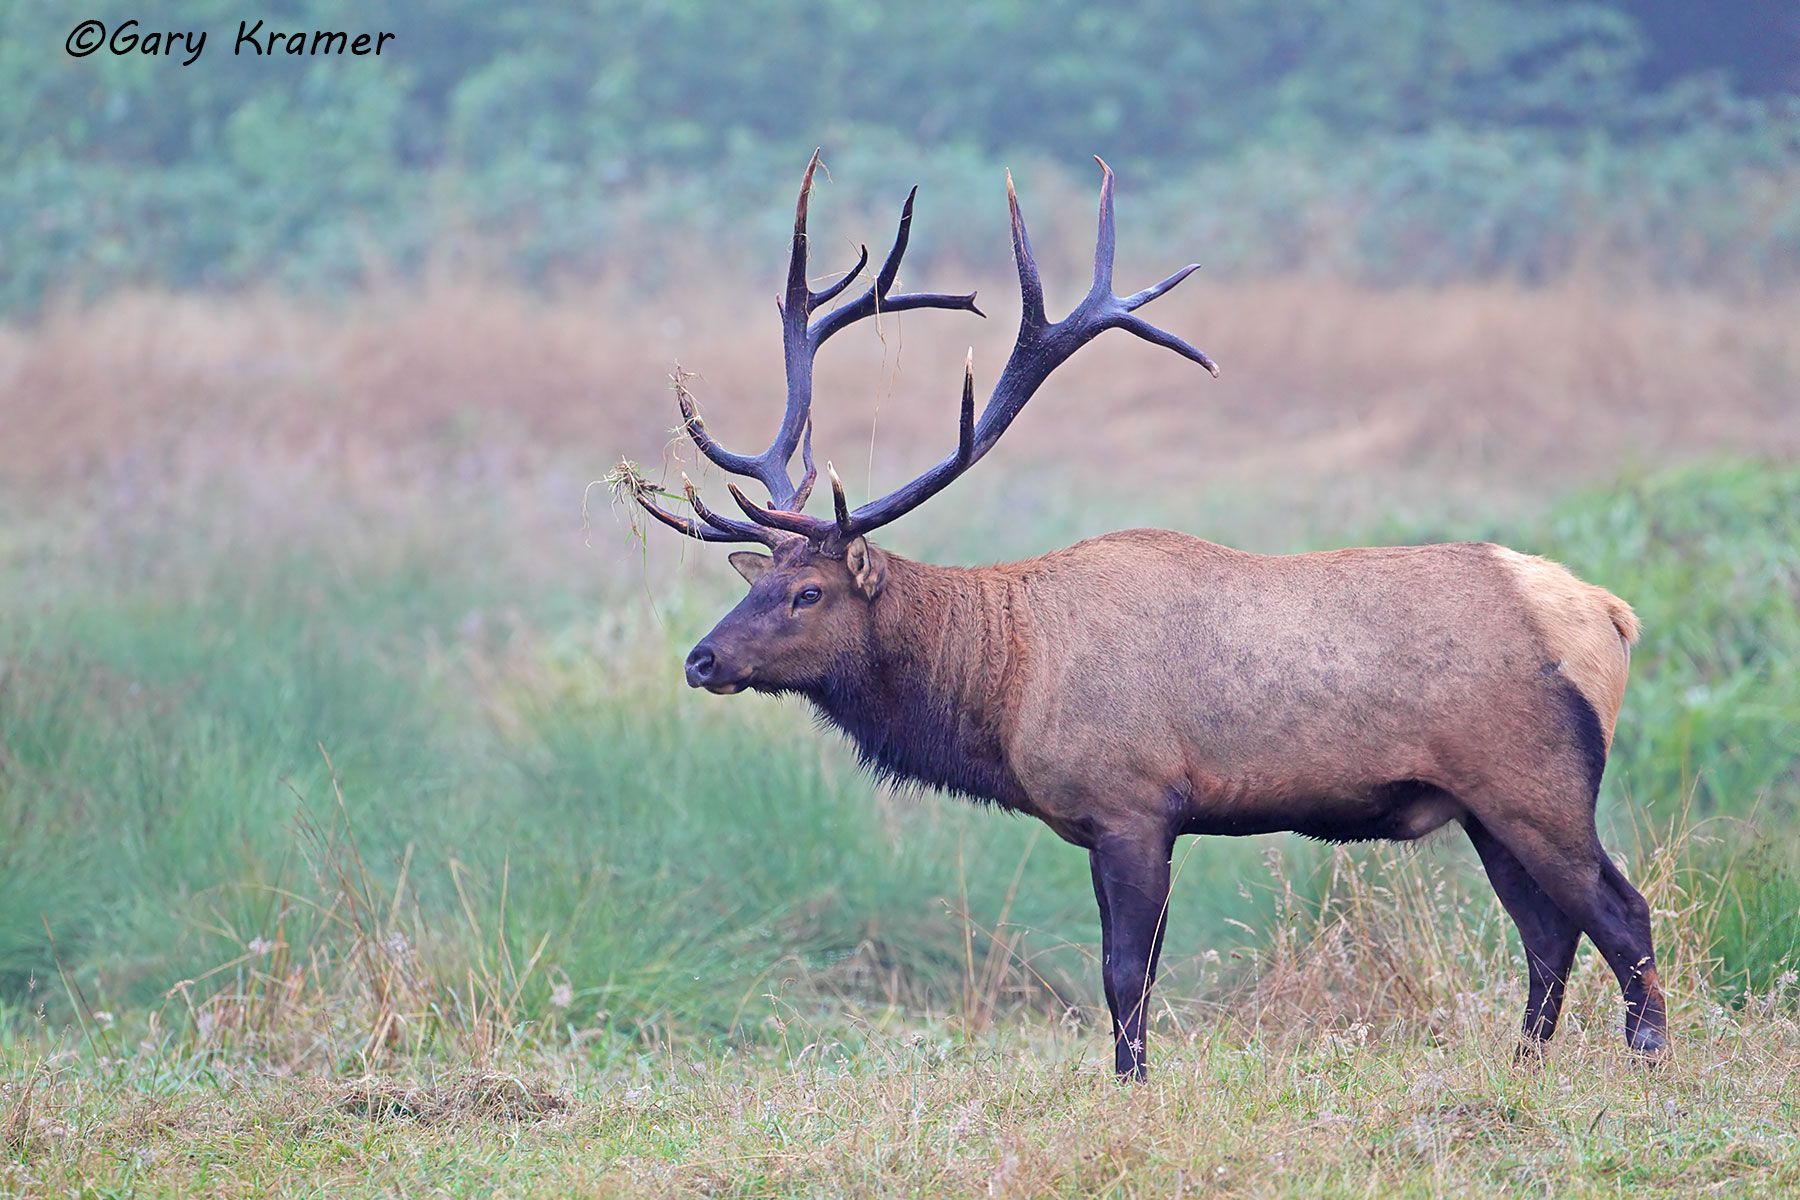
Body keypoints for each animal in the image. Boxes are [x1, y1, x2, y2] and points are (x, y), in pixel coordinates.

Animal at [613, 153, 1666, 1079]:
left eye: (809, 592)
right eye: (754, 581)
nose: (703, 659)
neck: (1005, 684)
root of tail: (1612, 615)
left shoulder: (1132, 804)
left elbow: (1125, 977)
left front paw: (1132, 1086)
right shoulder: (1107, 823)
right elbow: (1134, 975)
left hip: (1536, 780)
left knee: (1620, 912)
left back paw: (1649, 1060)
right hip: (1486, 805)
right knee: (1547, 934)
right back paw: (1525, 1067)